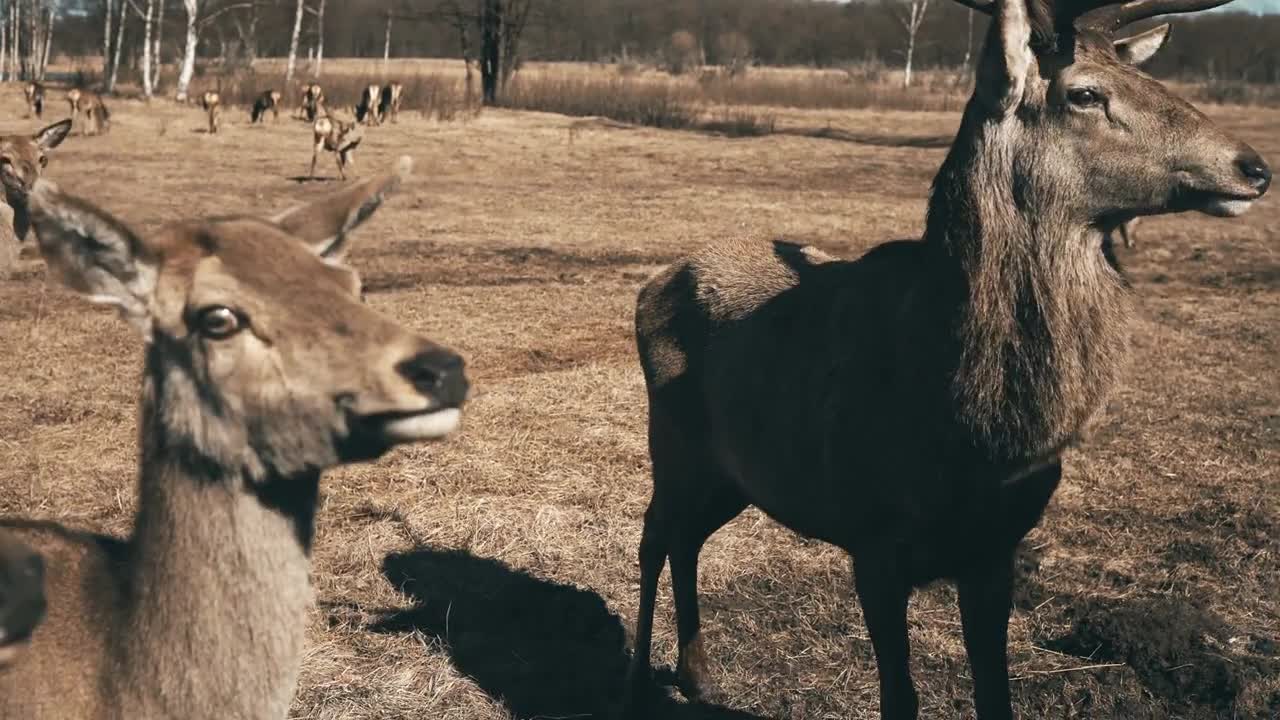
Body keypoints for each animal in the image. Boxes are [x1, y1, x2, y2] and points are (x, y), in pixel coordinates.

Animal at [619, 1, 1269, 717]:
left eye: (1145, 75)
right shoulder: (873, 541)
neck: (973, 428)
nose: (1254, 167)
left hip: (735, 473)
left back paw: (697, 676)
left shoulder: (997, 546)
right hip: (672, 444)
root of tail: (651, 284)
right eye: (1084, 93)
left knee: (688, 539)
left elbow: (995, 696)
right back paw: (639, 680)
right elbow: (899, 699)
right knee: (653, 535)